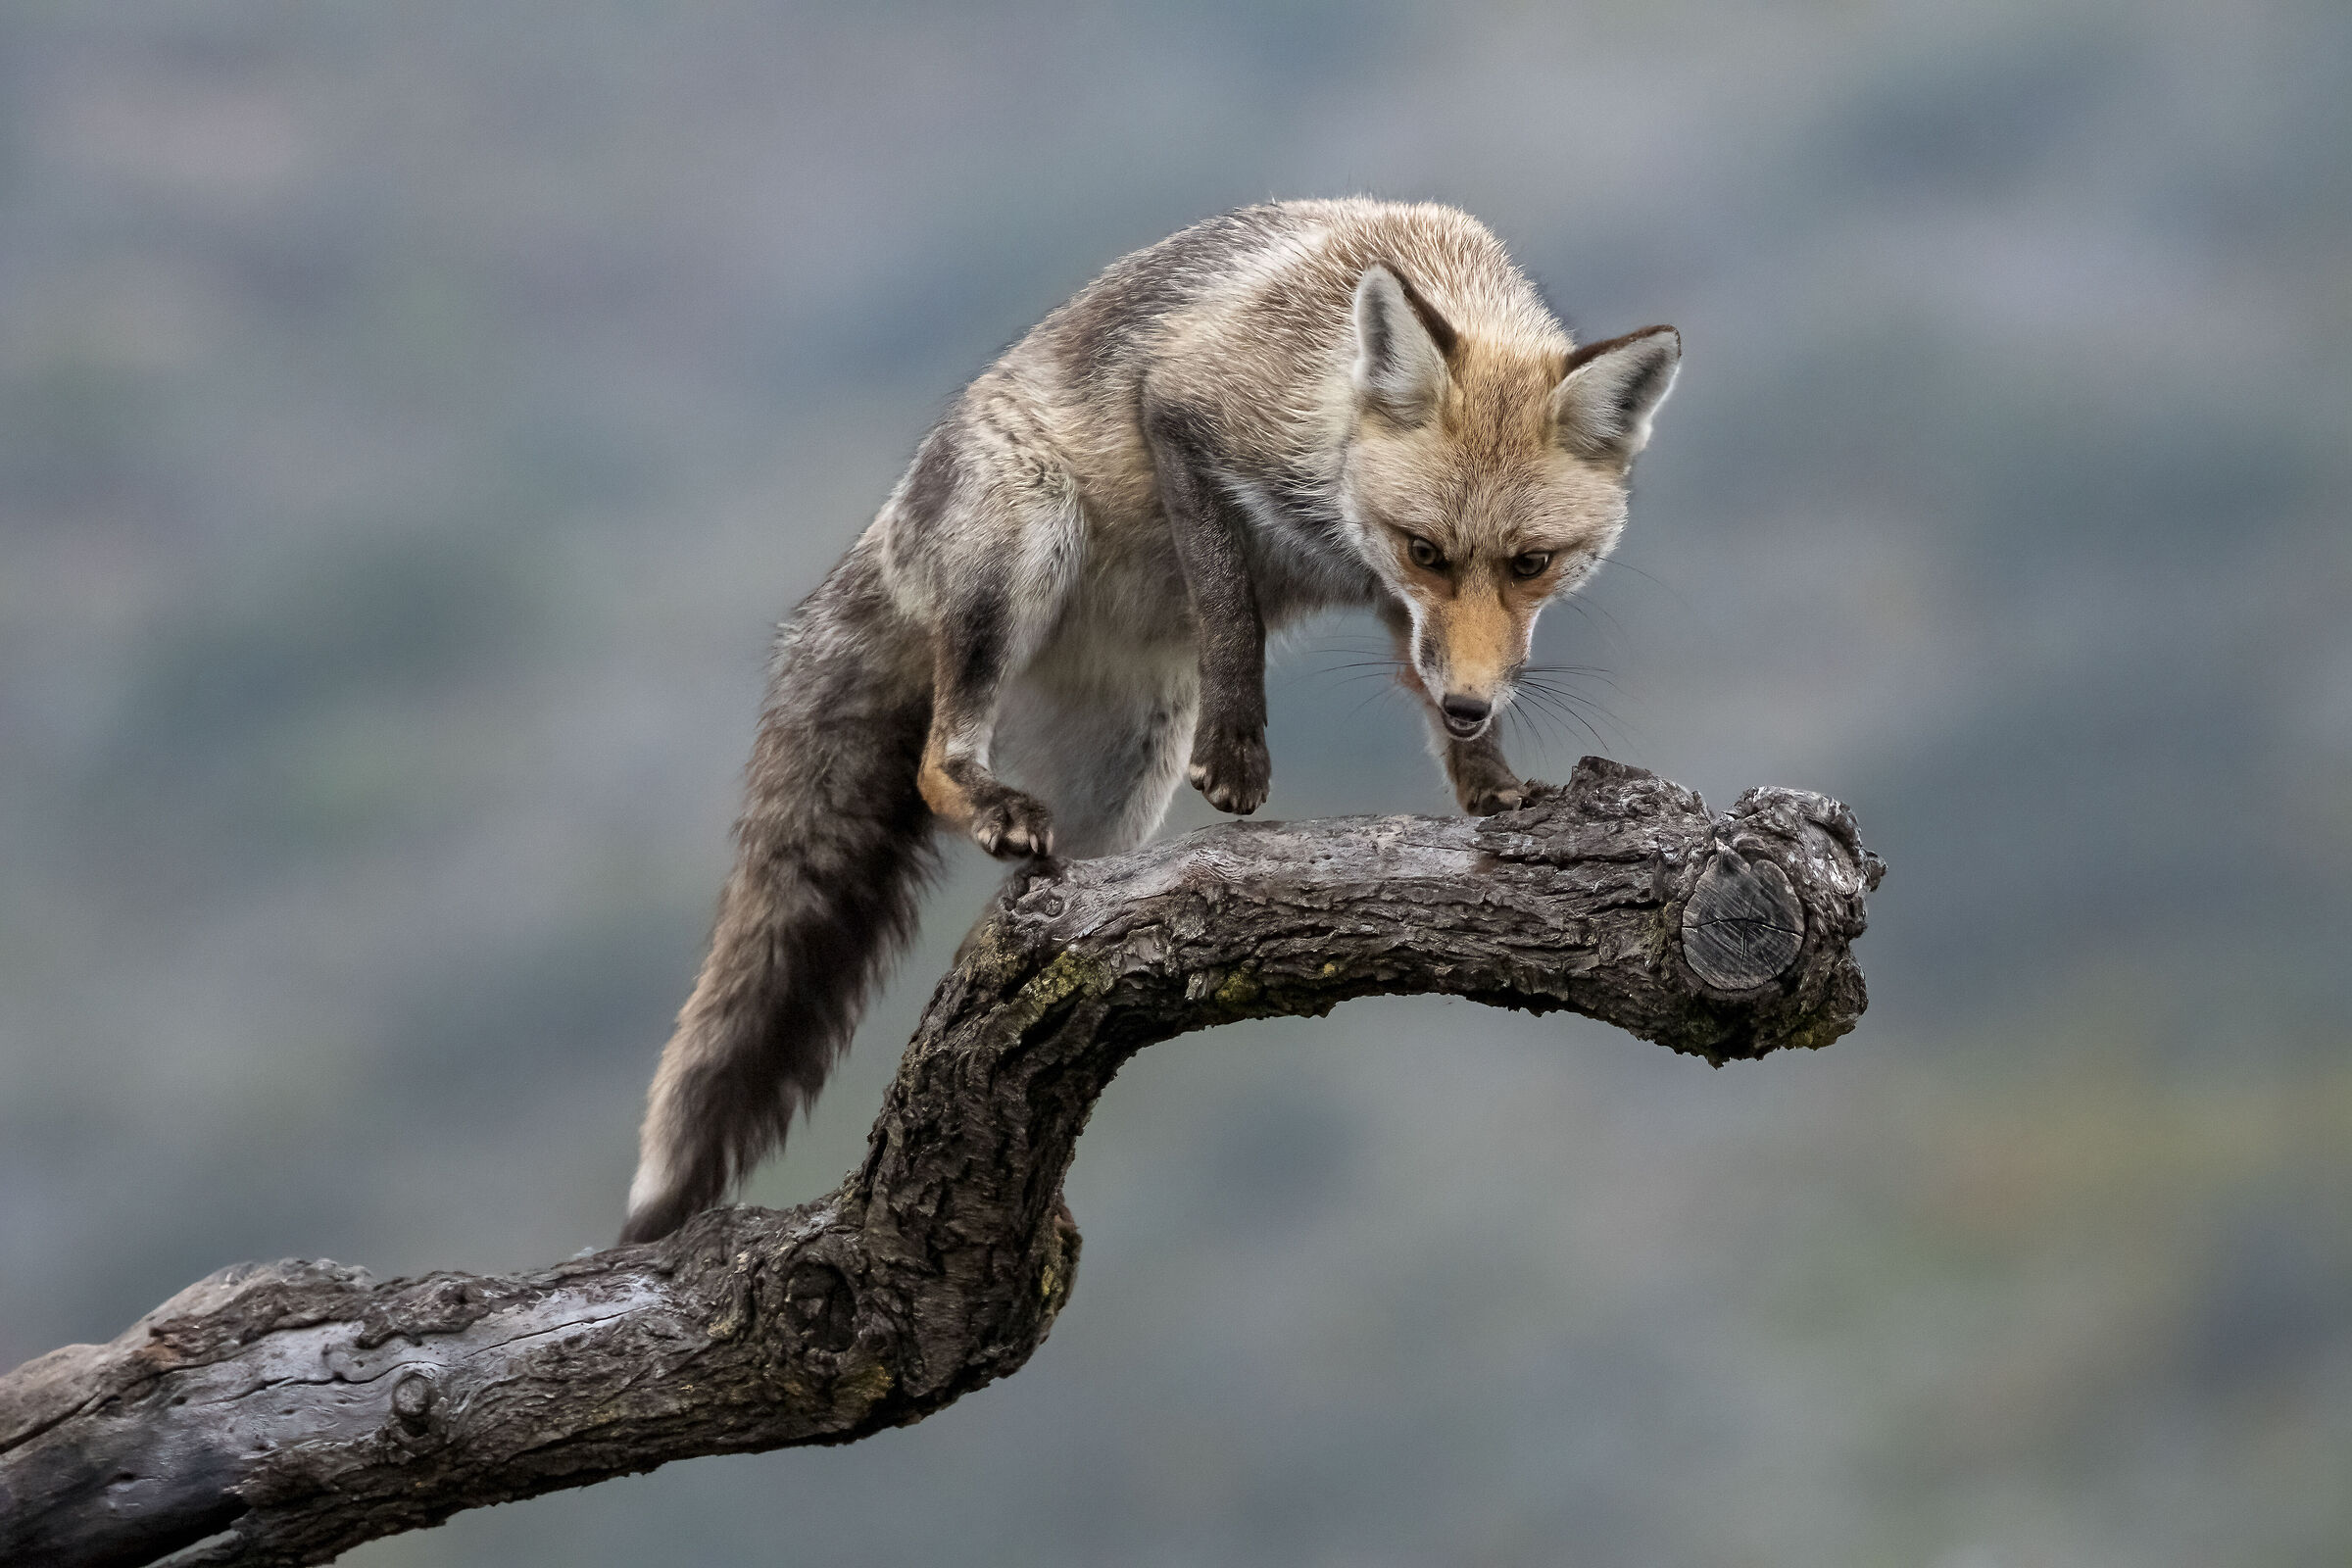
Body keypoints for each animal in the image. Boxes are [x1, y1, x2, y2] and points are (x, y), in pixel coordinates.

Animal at [619, 198, 1681, 1244]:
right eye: (1428, 548)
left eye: (1532, 564)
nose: (1471, 704)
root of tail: (884, 539)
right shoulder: (1185, 413)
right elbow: (1231, 611)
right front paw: (1241, 754)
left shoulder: (1400, 606)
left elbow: (1427, 689)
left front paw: (1488, 782)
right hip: (1025, 551)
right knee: (933, 762)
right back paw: (987, 800)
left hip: (1128, 773)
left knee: (1049, 934)